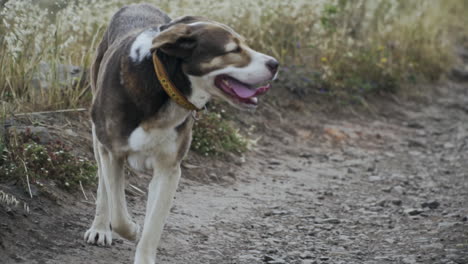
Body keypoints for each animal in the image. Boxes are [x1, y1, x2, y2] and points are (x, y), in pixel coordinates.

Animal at [85, 3, 278, 262]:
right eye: (232, 50)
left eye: (244, 44)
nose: (275, 63)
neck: (163, 85)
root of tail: (137, 4)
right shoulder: (112, 153)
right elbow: (118, 213)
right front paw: (131, 228)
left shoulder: (169, 169)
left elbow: (153, 227)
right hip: (98, 137)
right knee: (103, 189)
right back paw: (100, 228)